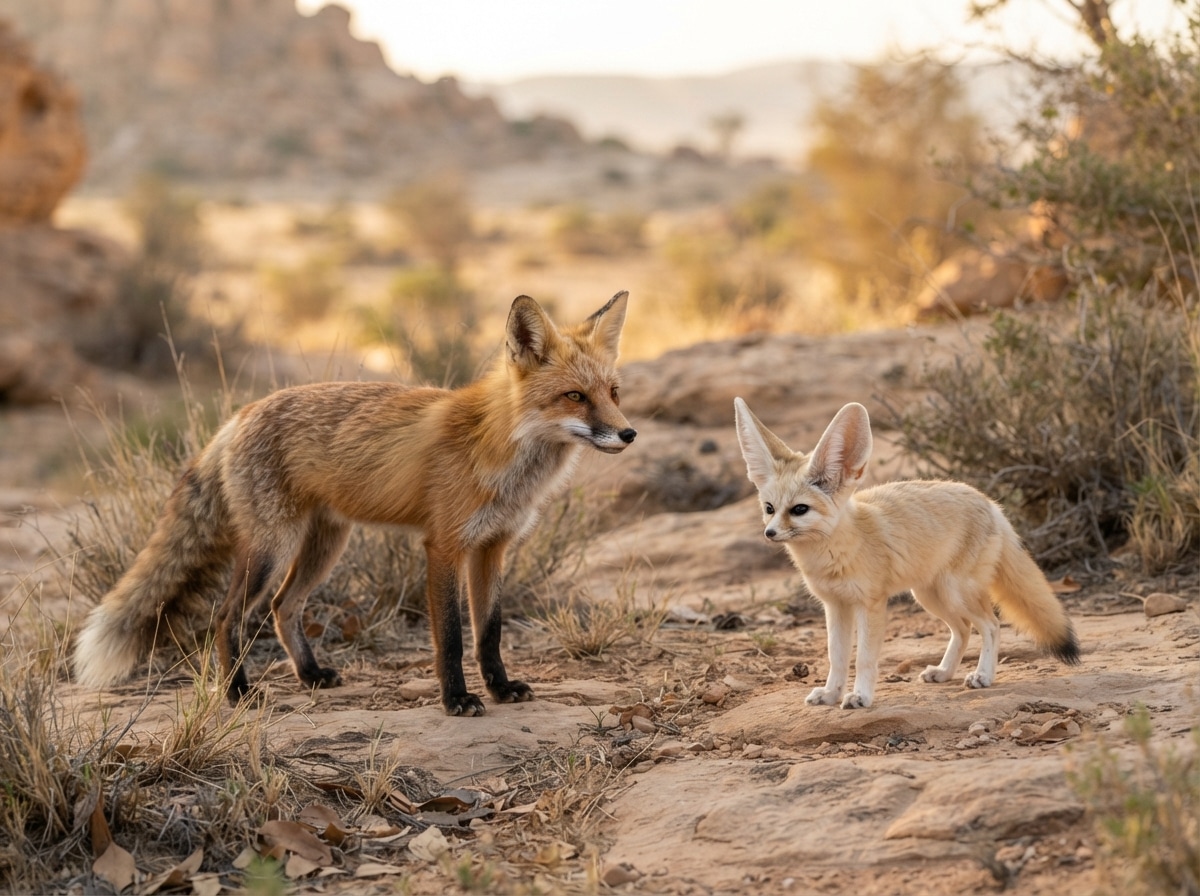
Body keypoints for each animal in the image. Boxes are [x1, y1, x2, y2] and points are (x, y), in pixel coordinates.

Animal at [73, 291, 636, 716]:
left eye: (613, 392)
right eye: (574, 397)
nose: (629, 434)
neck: (498, 448)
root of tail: (241, 414)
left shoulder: (493, 546)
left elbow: (489, 633)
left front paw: (500, 688)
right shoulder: (444, 546)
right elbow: (452, 638)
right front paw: (456, 700)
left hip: (325, 546)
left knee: (282, 608)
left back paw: (309, 674)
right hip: (272, 548)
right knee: (227, 616)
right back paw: (237, 692)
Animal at [733, 398, 1079, 709]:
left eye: (799, 510)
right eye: (769, 509)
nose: (769, 533)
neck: (837, 552)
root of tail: (991, 503)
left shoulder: (870, 604)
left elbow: (864, 658)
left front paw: (860, 697)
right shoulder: (835, 606)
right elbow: (837, 657)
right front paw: (831, 694)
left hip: (954, 593)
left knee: (991, 625)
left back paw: (983, 676)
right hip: (929, 596)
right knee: (963, 629)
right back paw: (944, 672)